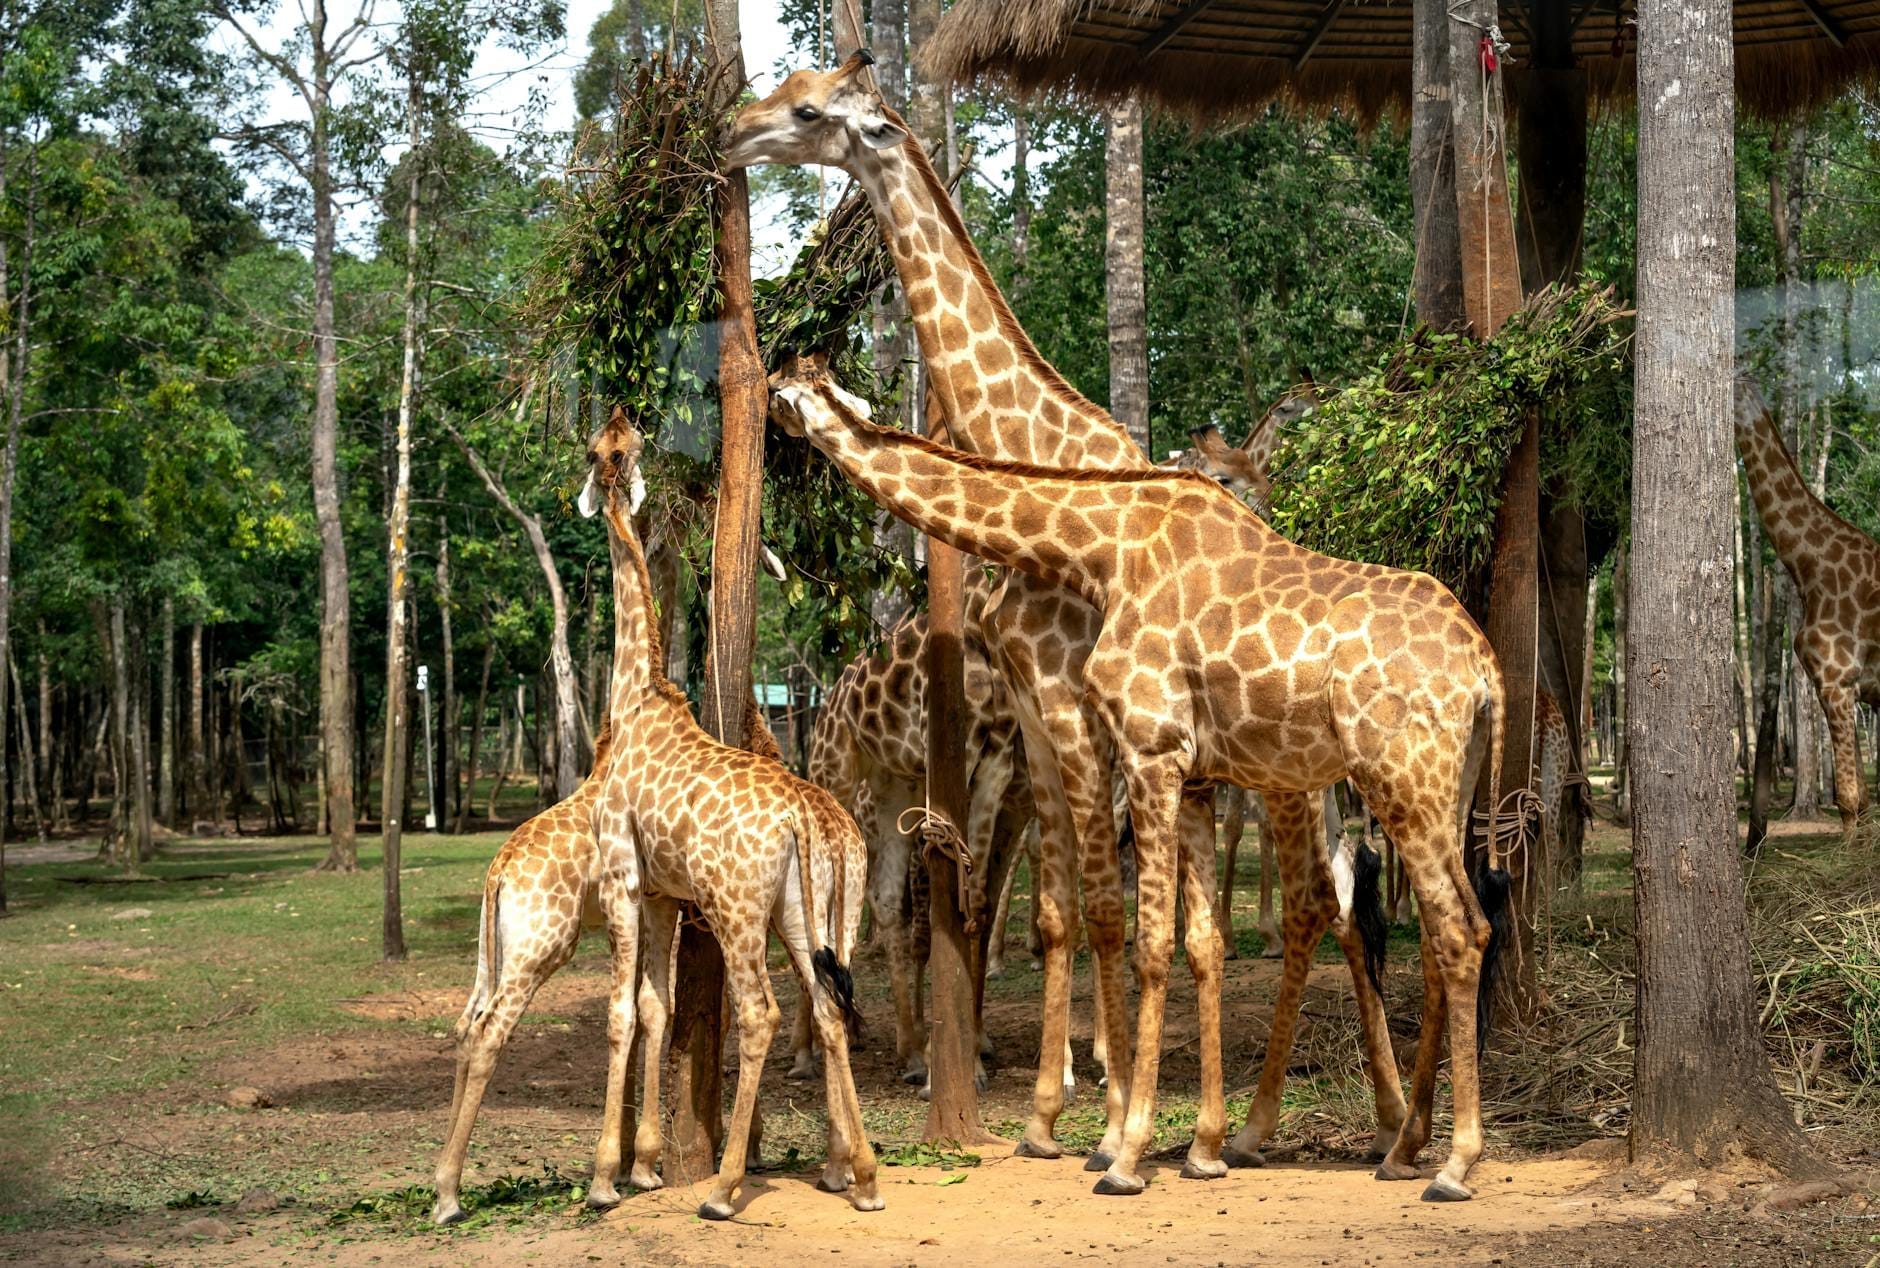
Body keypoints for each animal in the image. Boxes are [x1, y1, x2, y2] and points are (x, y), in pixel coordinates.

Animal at [574, 407, 881, 1220]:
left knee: (763, 1011)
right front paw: (646, 1167)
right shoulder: (658, 891)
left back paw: (724, 1188)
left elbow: (620, 1011)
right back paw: (861, 1178)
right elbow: (656, 1007)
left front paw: (605, 1178)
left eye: (605, 450)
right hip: (811, 914)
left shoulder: (621, 875)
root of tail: (808, 819)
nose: (620, 415)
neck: (633, 697)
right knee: (829, 1007)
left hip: (741, 906)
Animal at [729, 56, 1413, 1172]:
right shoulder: (1036, 720)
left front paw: (1109, 1107)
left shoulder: (1070, 707)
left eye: (809, 111)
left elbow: (1104, 911)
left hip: (1279, 778)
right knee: (1331, 902)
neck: (1034, 445)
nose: (731, 132)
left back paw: (1327, 1118)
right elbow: (1060, 913)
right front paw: (1054, 1112)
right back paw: (1358, 1119)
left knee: (1326, 901)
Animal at [767, 366, 1510, 1201]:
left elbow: (1148, 941)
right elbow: (1196, 940)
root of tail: (1485, 668)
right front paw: (1201, 1148)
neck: (1105, 546)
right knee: (1456, 925)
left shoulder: (1150, 747)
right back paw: (1402, 1145)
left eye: (783, 400)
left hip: (1398, 778)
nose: (770, 423)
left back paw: (1454, 1163)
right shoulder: (1189, 770)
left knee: (1450, 927)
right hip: (1448, 782)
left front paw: (1124, 1155)